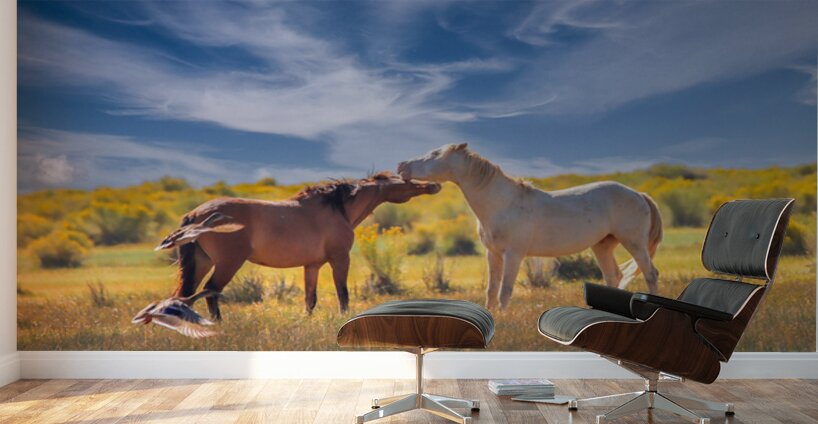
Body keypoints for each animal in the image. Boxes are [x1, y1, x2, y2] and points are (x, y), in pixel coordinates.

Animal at [155, 172, 441, 319]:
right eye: (406, 181)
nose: (434, 185)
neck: (337, 208)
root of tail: (195, 215)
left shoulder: (312, 265)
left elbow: (310, 299)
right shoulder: (340, 259)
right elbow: (343, 293)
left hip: (202, 262)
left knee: (185, 295)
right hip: (227, 263)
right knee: (210, 292)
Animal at [397, 143, 662, 310]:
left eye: (435, 153)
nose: (402, 166)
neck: (503, 203)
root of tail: (639, 194)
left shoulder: (514, 254)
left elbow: (505, 290)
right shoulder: (493, 254)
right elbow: (492, 290)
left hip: (634, 243)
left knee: (650, 273)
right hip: (603, 246)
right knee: (613, 276)